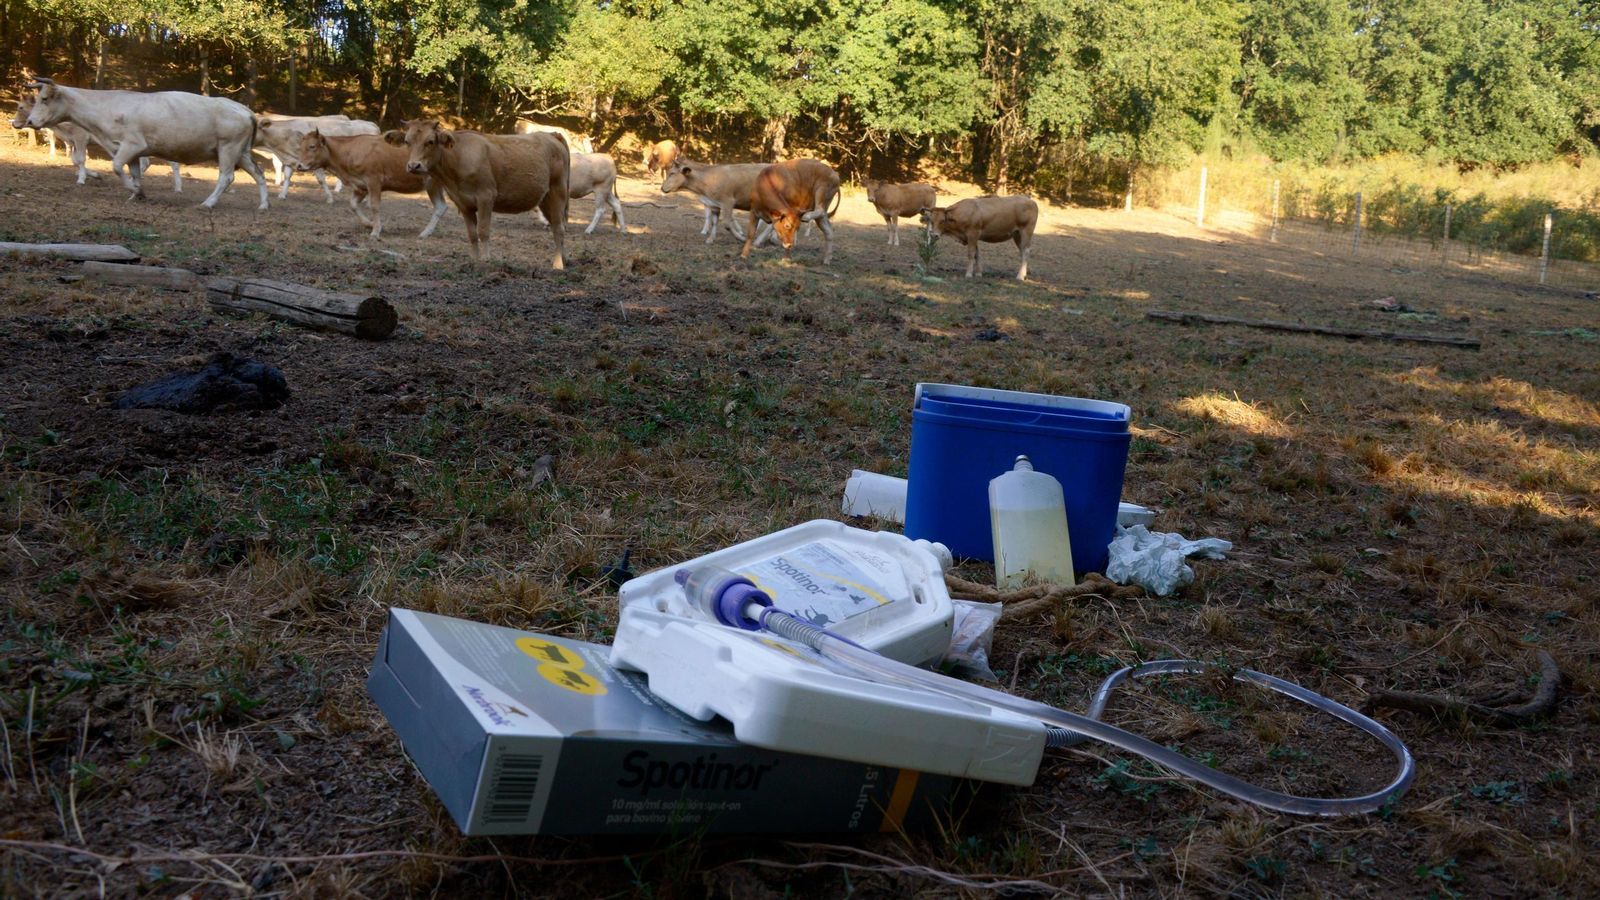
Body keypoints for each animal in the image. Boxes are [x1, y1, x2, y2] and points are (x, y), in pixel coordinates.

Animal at [13, 93, 183, 190]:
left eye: (20, 107)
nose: (14, 123)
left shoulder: (80, 136)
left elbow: (81, 159)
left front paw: (81, 179)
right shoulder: (73, 141)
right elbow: (74, 160)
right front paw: (93, 174)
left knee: (172, 163)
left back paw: (177, 187)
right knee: (148, 162)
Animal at [295, 129, 448, 240]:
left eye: (312, 146)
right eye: (300, 147)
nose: (299, 165)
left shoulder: (373, 180)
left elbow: (374, 206)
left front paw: (375, 231)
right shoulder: (360, 186)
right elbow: (353, 205)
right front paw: (369, 224)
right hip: (434, 185)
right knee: (441, 207)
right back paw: (425, 233)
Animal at [387, 119, 568, 266]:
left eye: (430, 141)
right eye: (407, 141)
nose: (413, 166)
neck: (458, 158)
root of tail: (551, 134)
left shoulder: (486, 197)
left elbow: (483, 230)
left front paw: (486, 259)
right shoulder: (463, 202)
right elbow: (472, 234)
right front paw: (473, 260)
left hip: (557, 192)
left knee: (558, 228)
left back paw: (558, 264)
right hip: (545, 199)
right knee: (556, 226)